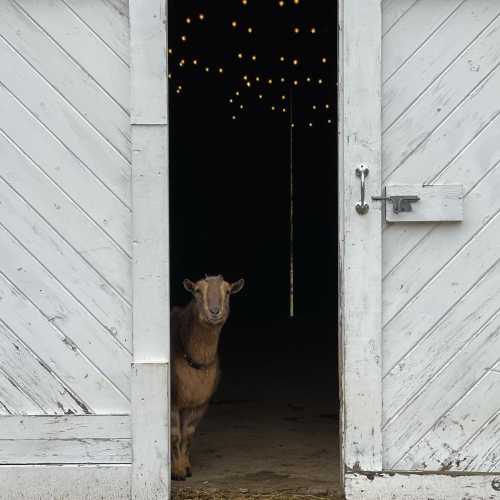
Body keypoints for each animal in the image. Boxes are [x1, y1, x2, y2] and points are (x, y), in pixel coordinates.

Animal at [170, 274, 244, 480]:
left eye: (228, 291)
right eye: (197, 290)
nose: (215, 311)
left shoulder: (200, 401)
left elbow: (188, 434)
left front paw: (186, 467)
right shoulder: (173, 400)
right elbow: (175, 435)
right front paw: (176, 472)